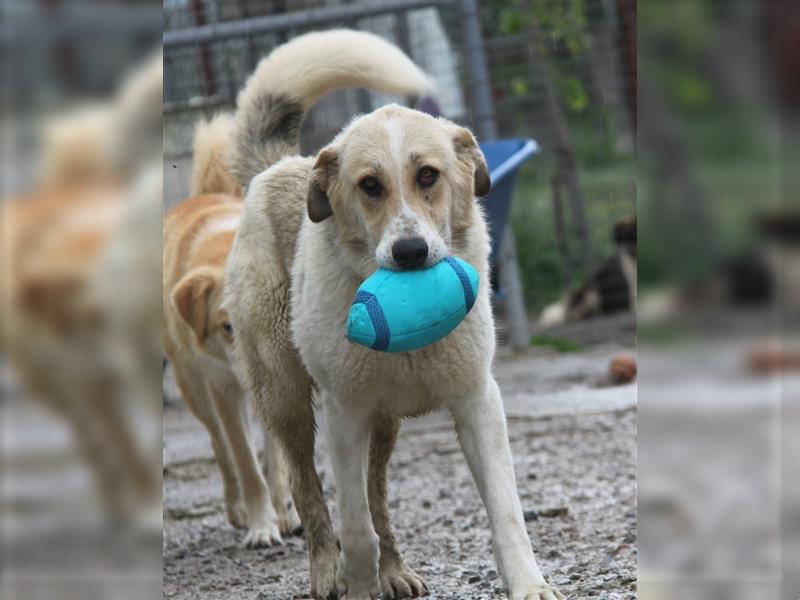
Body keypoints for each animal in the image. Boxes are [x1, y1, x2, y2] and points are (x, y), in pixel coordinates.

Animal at [222, 29, 564, 600]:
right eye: (369, 186)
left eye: (428, 175)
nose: (409, 252)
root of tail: (278, 166)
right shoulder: (344, 415)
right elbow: (354, 523)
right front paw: (356, 583)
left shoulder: (477, 401)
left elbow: (505, 509)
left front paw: (529, 584)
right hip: (287, 398)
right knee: (309, 488)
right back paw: (327, 572)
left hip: (383, 428)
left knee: (378, 493)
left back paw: (395, 572)